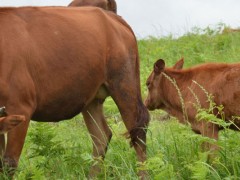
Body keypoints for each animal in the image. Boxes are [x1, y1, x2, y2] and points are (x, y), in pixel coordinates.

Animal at [0, 6, 149, 178]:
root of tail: (112, 17)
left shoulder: (21, 106)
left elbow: (9, 162)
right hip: (92, 99)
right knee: (101, 136)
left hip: (124, 83)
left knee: (138, 132)